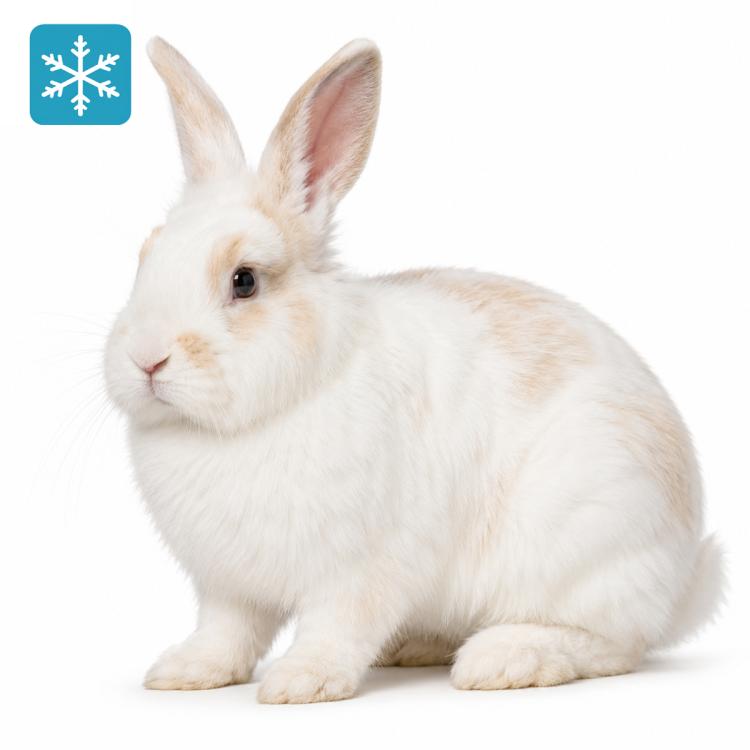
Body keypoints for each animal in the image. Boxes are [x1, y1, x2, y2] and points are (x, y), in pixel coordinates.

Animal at [104, 36, 724, 704]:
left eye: (244, 281)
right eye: (145, 257)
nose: (145, 357)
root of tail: (680, 580)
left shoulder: (359, 570)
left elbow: (336, 626)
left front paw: (301, 682)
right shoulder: (228, 585)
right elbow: (226, 632)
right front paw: (184, 672)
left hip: (585, 545)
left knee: (612, 644)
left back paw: (504, 660)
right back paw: (417, 648)